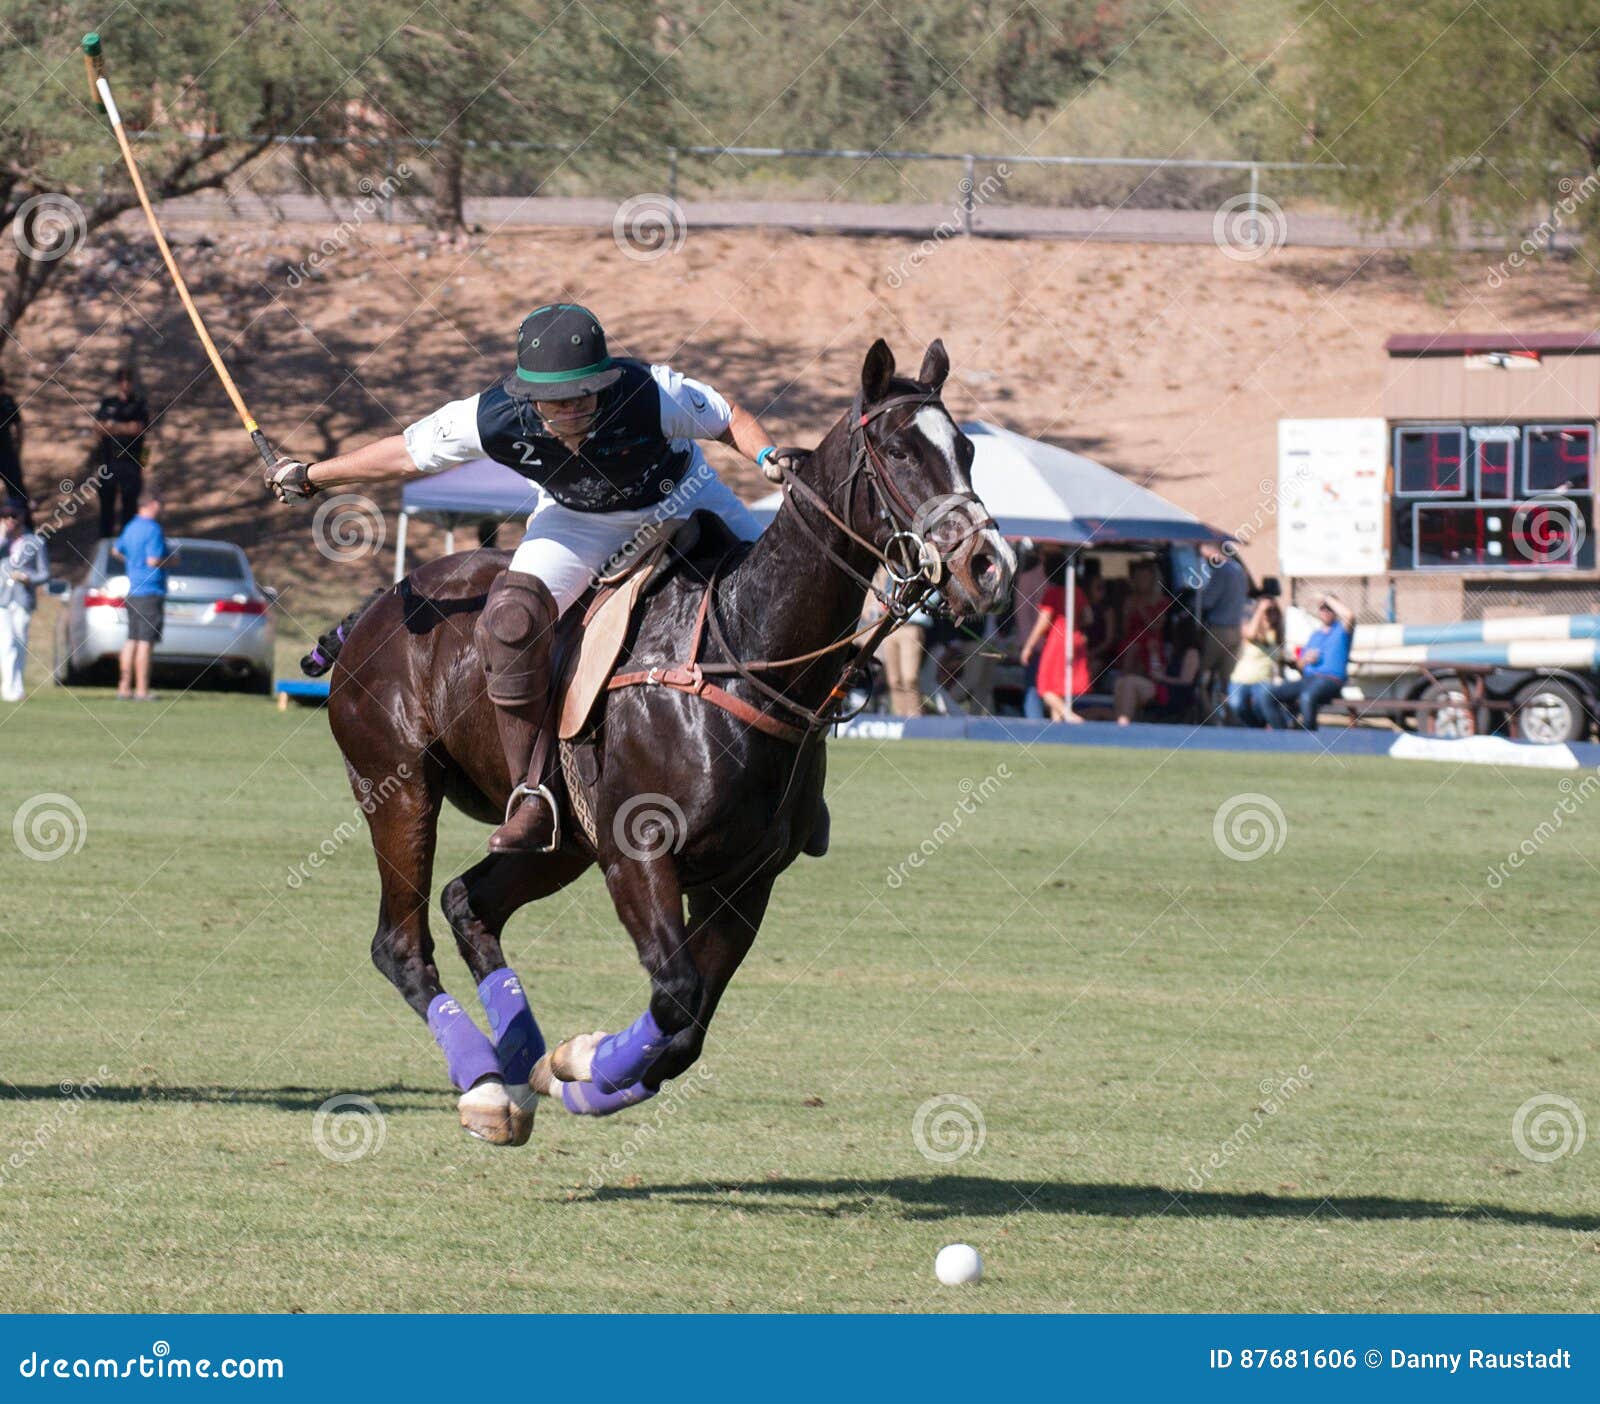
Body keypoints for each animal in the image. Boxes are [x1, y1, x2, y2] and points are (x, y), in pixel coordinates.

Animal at [307, 337, 1015, 1144]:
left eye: (966, 449)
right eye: (897, 449)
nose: (988, 567)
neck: (744, 648)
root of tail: (376, 606)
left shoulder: (745, 879)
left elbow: (689, 1029)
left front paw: (577, 1071)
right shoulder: (638, 855)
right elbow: (675, 994)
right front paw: (584, 1062)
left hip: (563, 843)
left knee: (469, 903)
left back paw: (521, 1059)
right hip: (399, 789)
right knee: (400, 942)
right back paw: (486, 1085)